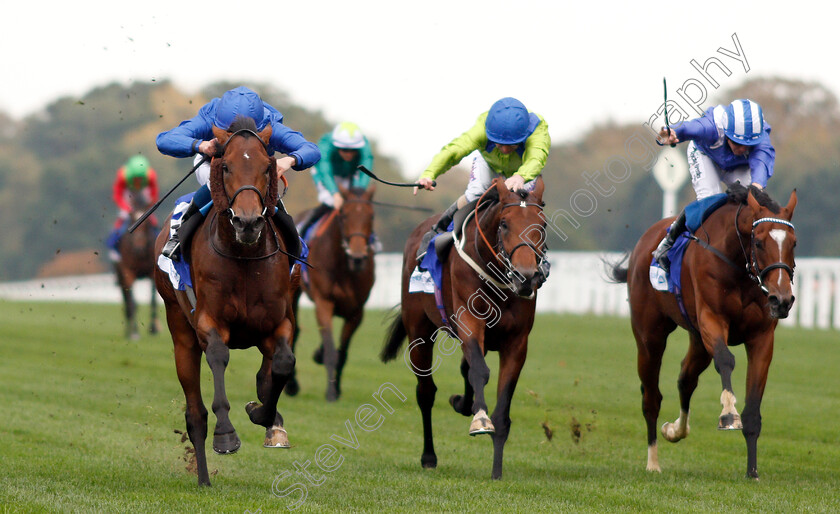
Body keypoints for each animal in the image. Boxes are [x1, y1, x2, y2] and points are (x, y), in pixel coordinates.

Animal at [154, 116, 298, 484]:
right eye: (226, 167)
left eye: (267, 168)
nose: (247, 222)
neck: (243, 255)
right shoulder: (209, 323)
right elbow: (218, 357)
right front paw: (226, 435)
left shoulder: (278, 323)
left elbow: (283, 364)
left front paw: (265, 416)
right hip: (180, 331)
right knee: (195, 413)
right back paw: (204, 477)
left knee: (268, 370)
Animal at [292, 184, 378, 400]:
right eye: (344, 215)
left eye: (371, 216)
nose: (357, 258)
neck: (343, 267)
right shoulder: (324, 302)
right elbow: (331, 350)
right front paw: (330, 392)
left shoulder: (357, 312)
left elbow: (342, 352)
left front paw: (336, 387)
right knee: (294, 331)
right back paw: (292, 385)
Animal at [382, 178, 552, 478]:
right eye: (504, 223)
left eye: (541, 224)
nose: (526, 277)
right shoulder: (470, 323)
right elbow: (480, 372)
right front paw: (480, 419)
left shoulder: (517, 341)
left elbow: (501, 405)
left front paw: (496, 471)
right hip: (419, 333)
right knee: (426, 392)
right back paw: (429, 455)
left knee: (465, 369)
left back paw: (463, 403)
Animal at [612, 183, 796, 476]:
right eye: (758, 242)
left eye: (794, 243)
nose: (782, 299)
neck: (739, 266)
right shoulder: (712, 319)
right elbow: (726, 360)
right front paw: (728, 414)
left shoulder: (761, 337)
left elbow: (753, 407)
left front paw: (752, 471)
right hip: (650, 336)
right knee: (651, 396)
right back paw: (653, 462)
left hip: (698, 341)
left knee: (685, 379)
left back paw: (675, 430)